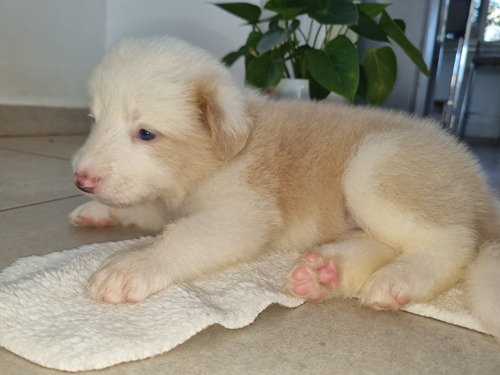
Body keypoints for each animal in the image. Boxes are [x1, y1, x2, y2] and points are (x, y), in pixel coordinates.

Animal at [69, 36, 500, 340]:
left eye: (146, 133)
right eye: (94, 120)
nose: (81, 179)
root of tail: (475, 178)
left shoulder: (241, 213)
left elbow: (181, 238)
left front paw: (133, 266)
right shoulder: (166, 198)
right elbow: (142, 206)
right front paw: (97, 211)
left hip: (373, 166)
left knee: (454, 244)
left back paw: (399, 280)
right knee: (382, 242)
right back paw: (327, 271)